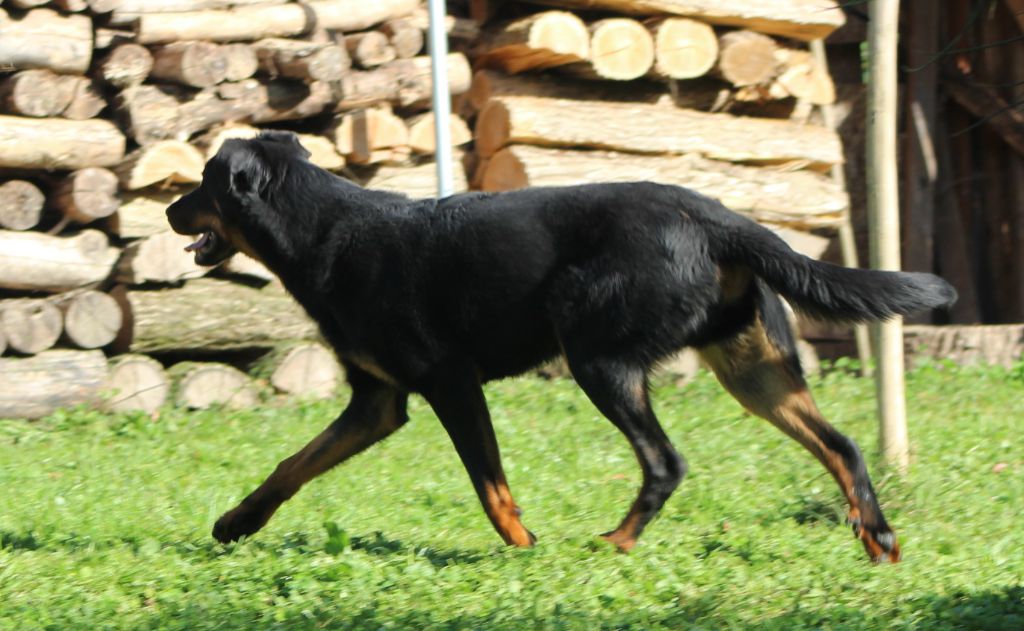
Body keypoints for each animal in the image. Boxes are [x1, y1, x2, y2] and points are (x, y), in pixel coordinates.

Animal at [163, 129, 954, 561]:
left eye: (203, 181)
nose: (168, 210)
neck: (324, 229)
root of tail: (715, 215)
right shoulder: (377, 403)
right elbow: (292, 465)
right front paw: (237, 522)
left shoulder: (449, 384)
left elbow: (490, 487)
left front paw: (524, 550)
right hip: (754, 370)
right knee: (842, 445)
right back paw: (878, 536)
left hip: (599, 360)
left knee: (666, 462)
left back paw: (616, 542)